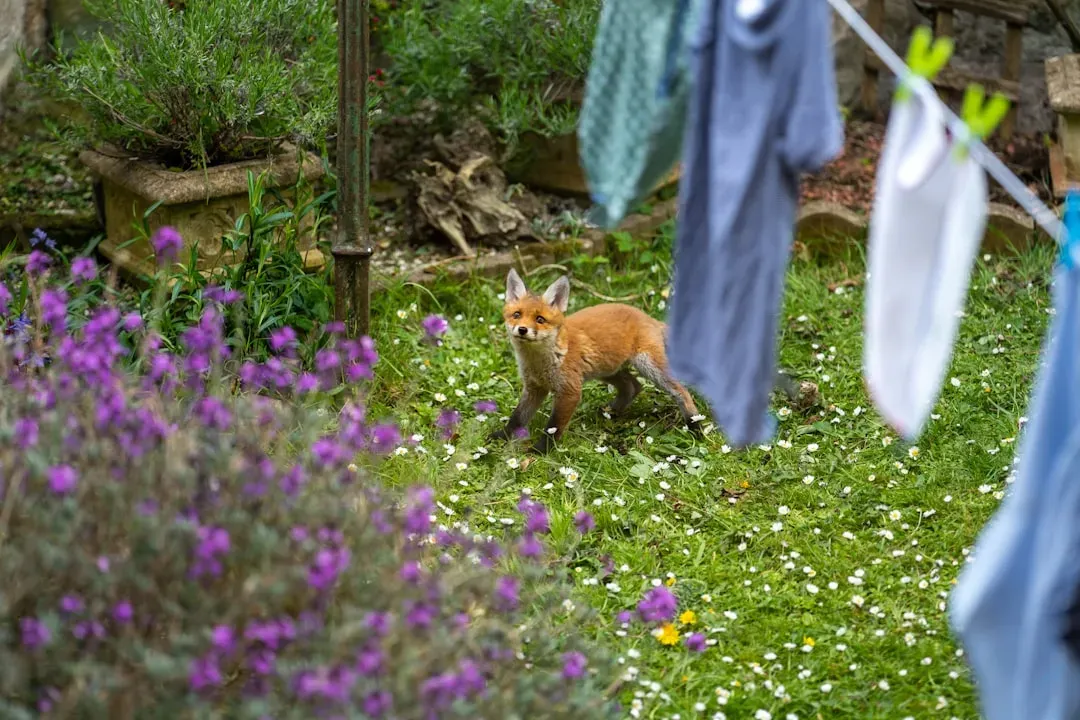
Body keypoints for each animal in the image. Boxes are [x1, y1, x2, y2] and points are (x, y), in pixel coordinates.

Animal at [487, 269, 703, 454]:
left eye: (540, 319)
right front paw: (502, 436)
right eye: (517, 315)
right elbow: (517, 417)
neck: (540, 363)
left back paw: (695, 426)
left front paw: (541, 451)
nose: (522, 329)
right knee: (633, 386)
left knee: (681, 391)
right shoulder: (534, 388)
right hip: (606, 370)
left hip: (649, 366)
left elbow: (553, 427)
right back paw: (610, 413)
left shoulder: (570, 391)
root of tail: (646, 316)